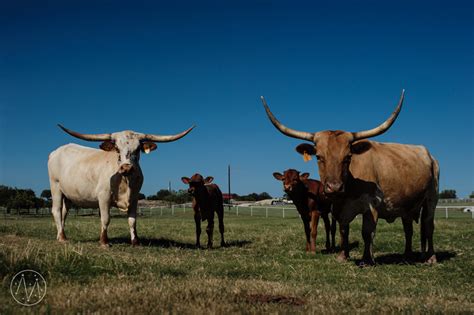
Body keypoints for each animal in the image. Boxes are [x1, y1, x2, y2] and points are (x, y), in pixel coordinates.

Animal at [262, 90, 438, 266]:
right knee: (408, 228)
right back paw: (407, 256)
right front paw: (342, 256)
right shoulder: (338, 208)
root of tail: (428, 154)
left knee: (428, 225)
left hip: (431, 198)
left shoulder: (371, 205)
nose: (334, 187)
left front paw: (367, 259)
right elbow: (343, 229)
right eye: (318, 157)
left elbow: (367, 232)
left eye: (348, 157)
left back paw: (431, 257)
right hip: (406, 205)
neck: (348, 189)